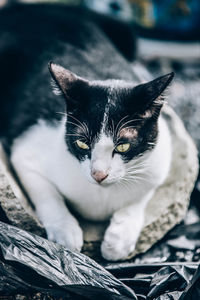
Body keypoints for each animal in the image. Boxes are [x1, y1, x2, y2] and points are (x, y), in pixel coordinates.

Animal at [0, 2, 172, 260]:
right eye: (82, 143)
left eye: (123, 145)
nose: (98, 174)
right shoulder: (26, 148)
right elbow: (45, 192)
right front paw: (65, 232)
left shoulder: (160, 159)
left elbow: (142, 194)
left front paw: (119, 239)